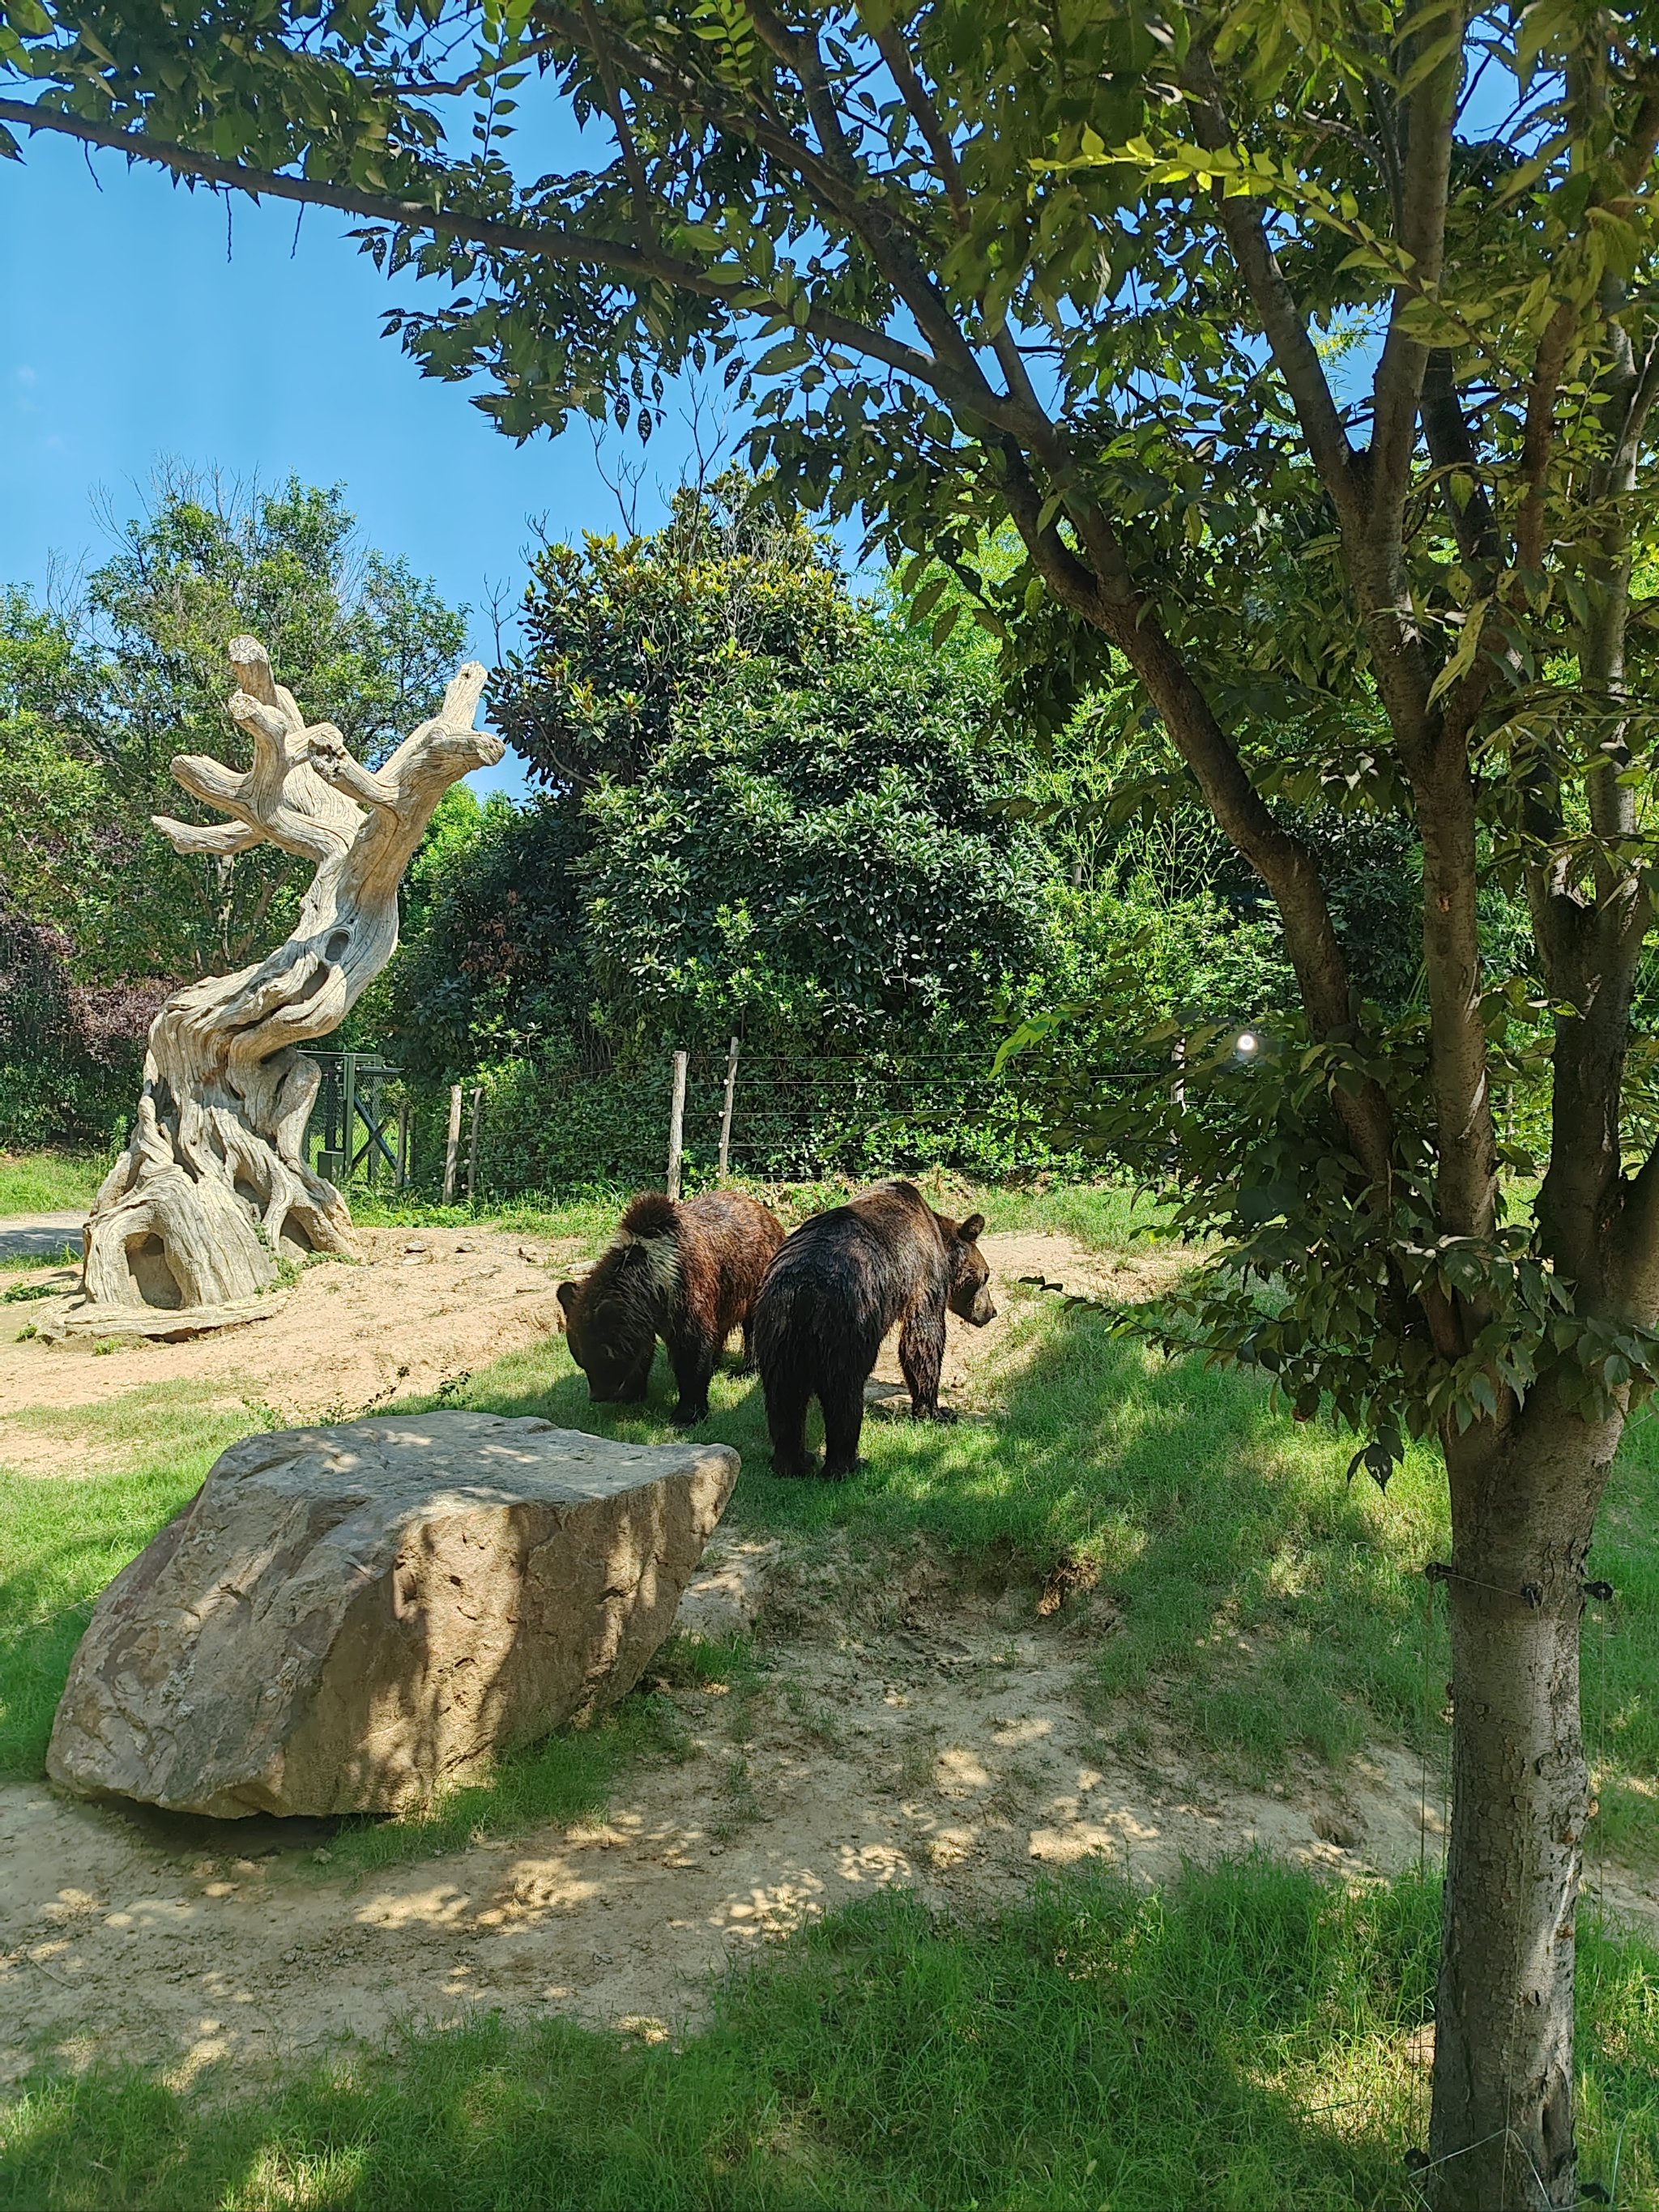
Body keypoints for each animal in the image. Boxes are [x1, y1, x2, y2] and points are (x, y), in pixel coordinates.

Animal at [559, 1185, 787, 1424]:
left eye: (603, 1356)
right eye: (581, 1359)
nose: (598, 1395)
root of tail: (763, 1210)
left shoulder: (686, 1291)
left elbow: (692, 1349)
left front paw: (687, 1413)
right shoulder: (645, 1317)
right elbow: (644, 1350)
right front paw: (630, 1393)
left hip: (753, 1277)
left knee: (754, 1325)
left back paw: (748, 1369)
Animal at [756, 1185, 1000, 1477]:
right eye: (986, 1275)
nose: (992, 1312)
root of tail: (803, 1290)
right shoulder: (923, 1274)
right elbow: (923, 1339)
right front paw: (938, 1411)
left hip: (777, 1330)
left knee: (784, 1397)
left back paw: (795, 1461)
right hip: (848, 1323)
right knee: (844, 1394)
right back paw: (847, 1464)